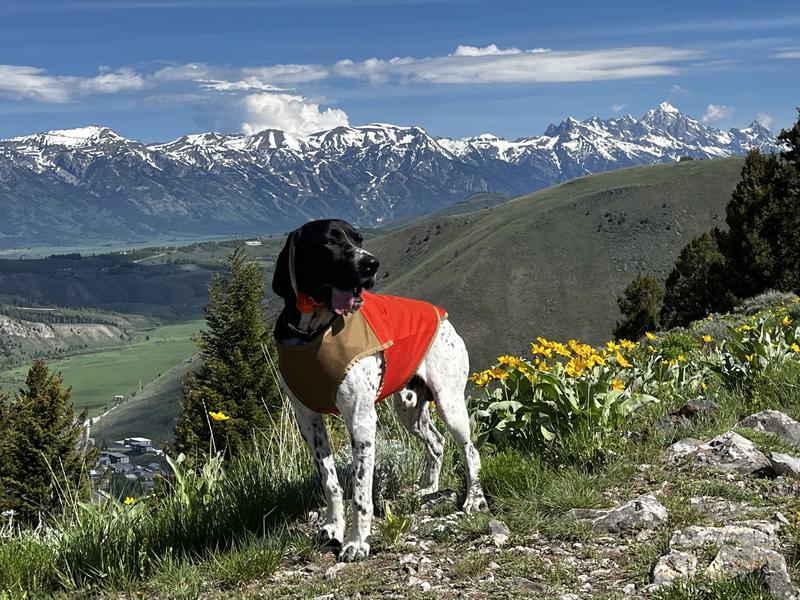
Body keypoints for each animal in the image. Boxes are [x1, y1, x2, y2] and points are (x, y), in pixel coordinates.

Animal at [272, 220, 488, 564]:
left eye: (358, 238)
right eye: (329, 242)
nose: (371, 264)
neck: (313, 331)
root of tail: (443, 318)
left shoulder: (360, 418)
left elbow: (361, 490)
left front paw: (358, 542)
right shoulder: (309, 421)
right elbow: (330, 481)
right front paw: (333, 527)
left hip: (449, 403)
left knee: (471, 451)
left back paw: (472, 499)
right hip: (410, 410)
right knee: (437, 443)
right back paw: (430, 488)